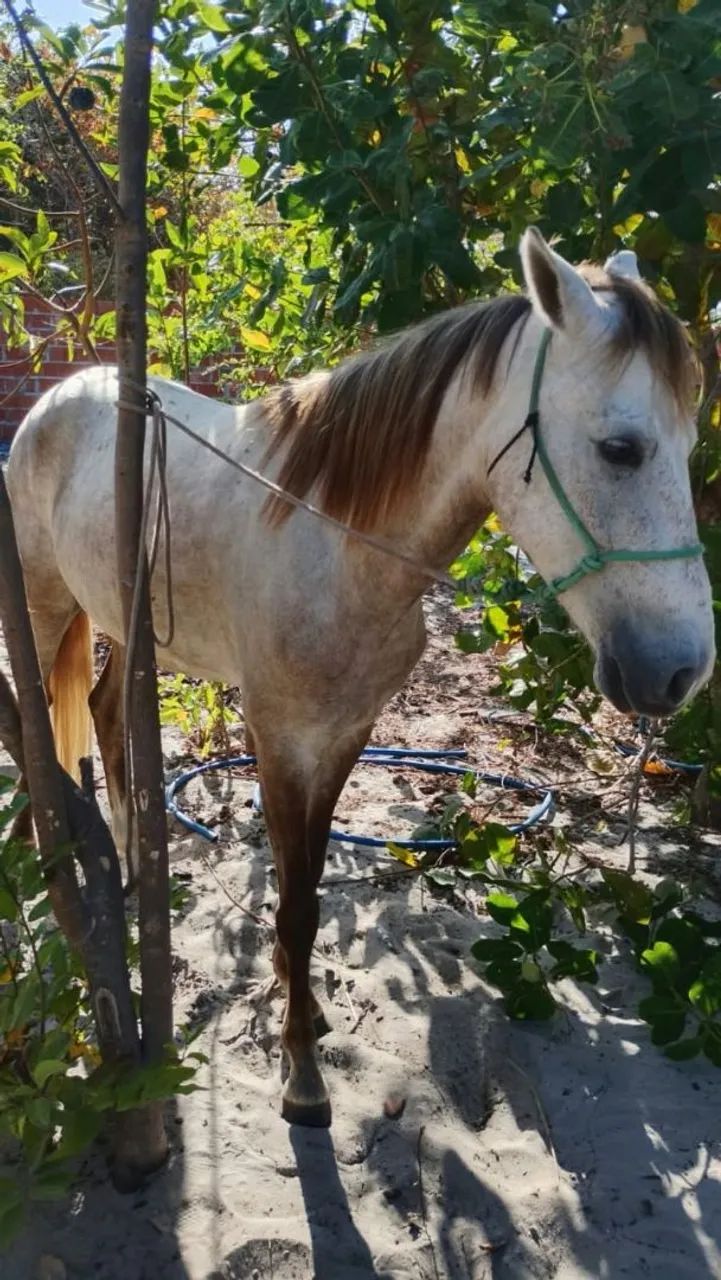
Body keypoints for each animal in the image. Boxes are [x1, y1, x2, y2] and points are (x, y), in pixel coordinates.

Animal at [6, 227, 714, 1128]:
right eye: (620, 448)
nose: (680, 669)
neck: (333, 540)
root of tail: (62, 393)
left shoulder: (346, 737)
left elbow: (307, 890)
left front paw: (304, 1017)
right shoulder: (279, 742)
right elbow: (295, 905)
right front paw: (302, 1076)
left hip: (128, 628)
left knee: (102, 711)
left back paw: (133, 865)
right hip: (42, 608)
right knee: (36, 734)